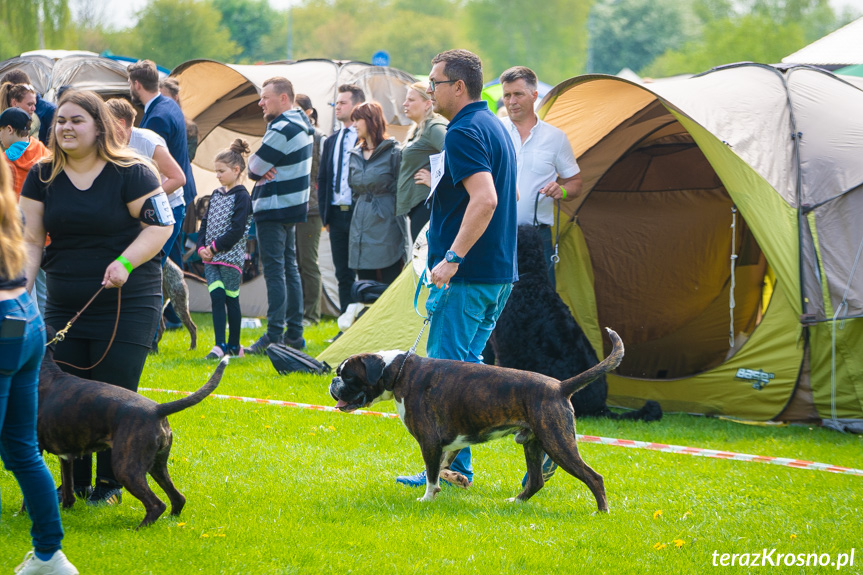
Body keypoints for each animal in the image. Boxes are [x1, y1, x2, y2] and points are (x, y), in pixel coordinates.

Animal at [36, 328, 226, 532]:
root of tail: (158, 409)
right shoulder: (66, 457)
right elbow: (68, 488)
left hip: (126, 469)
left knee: (157, 504)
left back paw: (138, 530)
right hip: (157, 466)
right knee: (178, 498)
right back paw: (170, 521)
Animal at [328, 328, 624, 508]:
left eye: (348, 376)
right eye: (338, 373)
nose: (333, 382)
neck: (398, 371)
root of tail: (560, 386)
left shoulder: (429, 441)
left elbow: (432, 475)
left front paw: (427, 499)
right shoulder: (449, 444)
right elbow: (439, 471)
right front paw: (451, 483)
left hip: (557, 442)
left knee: (594, 477)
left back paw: (601, 512)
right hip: (534, 444)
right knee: (537, 481)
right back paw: (516, 502)